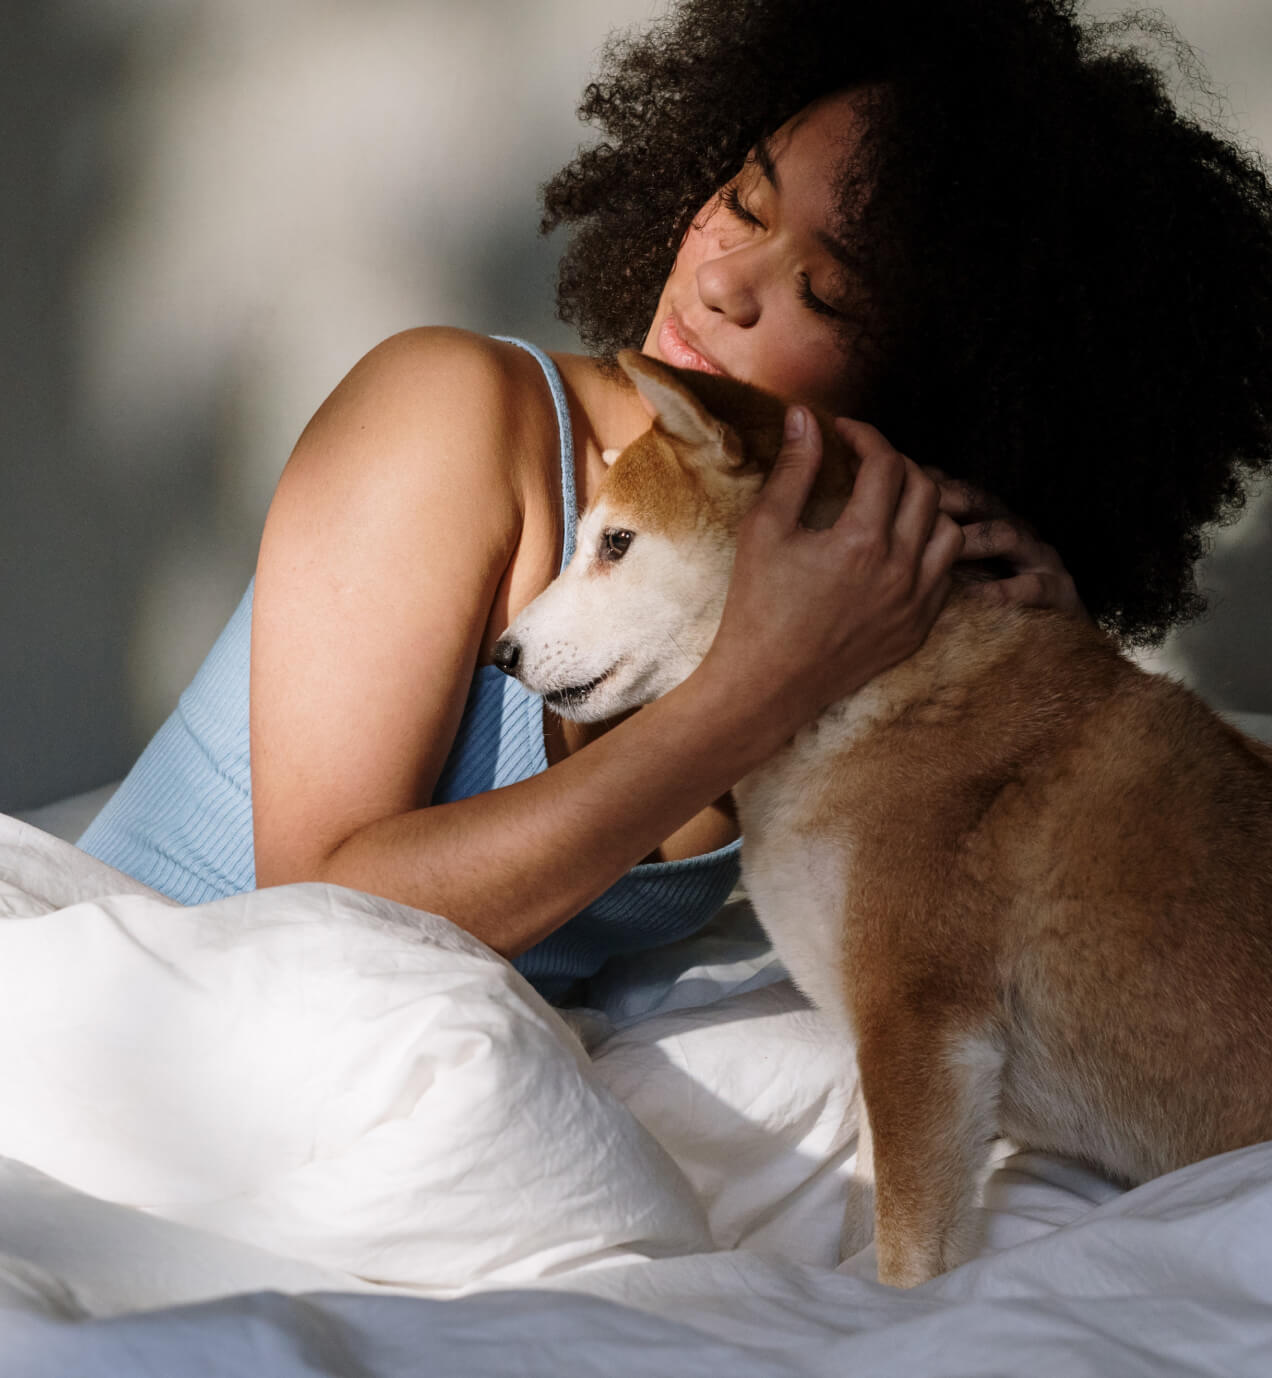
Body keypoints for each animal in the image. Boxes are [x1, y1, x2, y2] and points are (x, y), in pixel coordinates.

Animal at [493, 350, 1272, 1284]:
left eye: (615, 544)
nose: (501, 654)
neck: (867, 698)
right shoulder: (882, 1046)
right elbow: (864, 1220)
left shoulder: (920, 1029)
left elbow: (906, 1260)